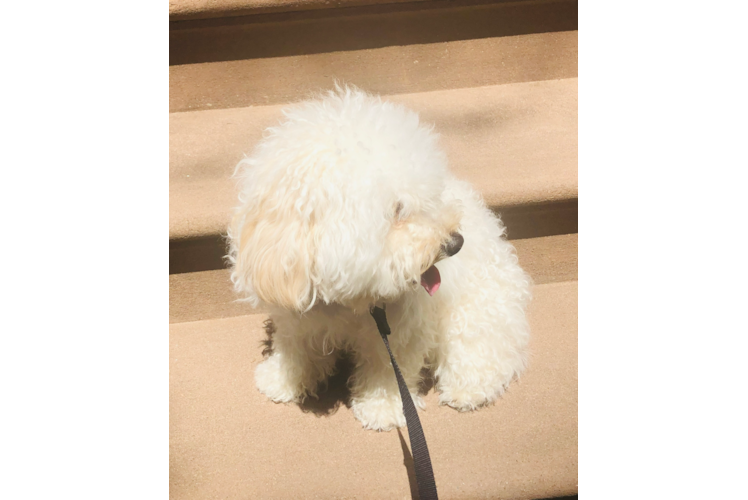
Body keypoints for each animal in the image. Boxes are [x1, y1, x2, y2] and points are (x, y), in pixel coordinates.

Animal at [228, 87, 532, 430]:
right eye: (398, 209)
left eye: (432, 195)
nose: (456, 243)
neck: (347, 302)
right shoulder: (295, 313)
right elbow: (295, 348)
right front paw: (281, 380)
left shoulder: (401, 329)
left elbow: (387, 369)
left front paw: (383, 408)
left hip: (478, 310)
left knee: (484, 349)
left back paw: (469, 388)